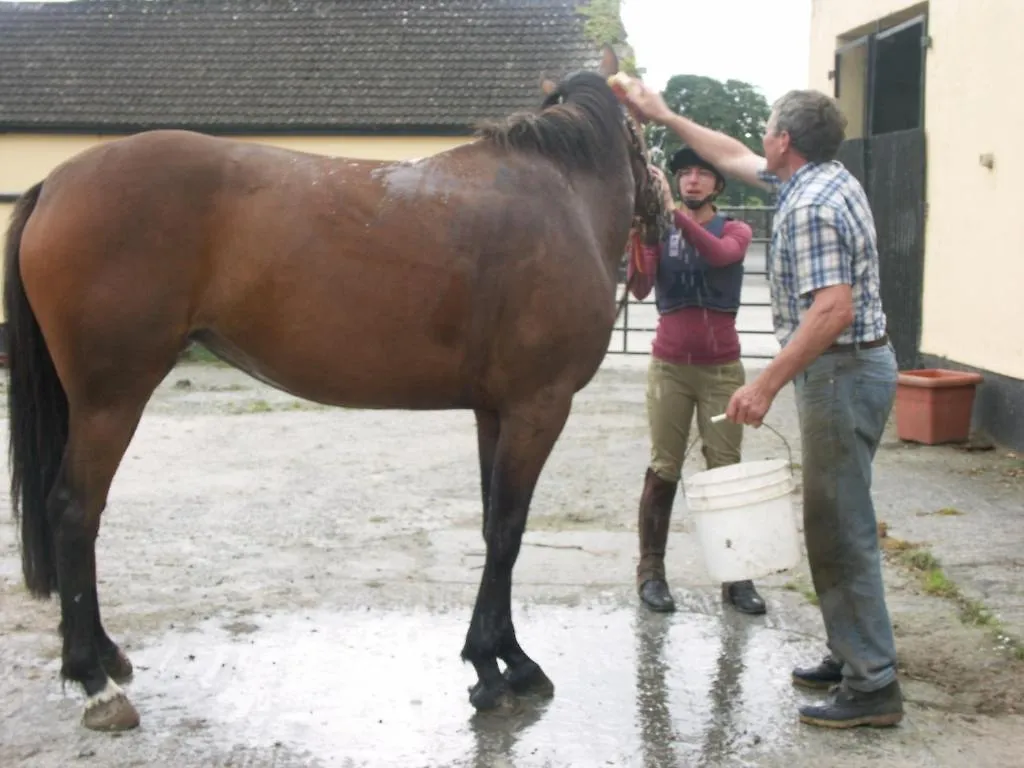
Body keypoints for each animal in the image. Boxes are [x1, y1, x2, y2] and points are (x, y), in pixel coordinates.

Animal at [2, 48, 663, 733]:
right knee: (74, 512)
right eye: (648, 129)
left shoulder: (495, 411)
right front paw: (492, 667)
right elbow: (508, 531)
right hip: (110, 400)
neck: (562, 197)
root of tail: (56, 183)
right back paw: (94, 681)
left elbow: (492, 527)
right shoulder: (539, 407)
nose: (665, 210)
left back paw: (106, 653)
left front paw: (509, 657)